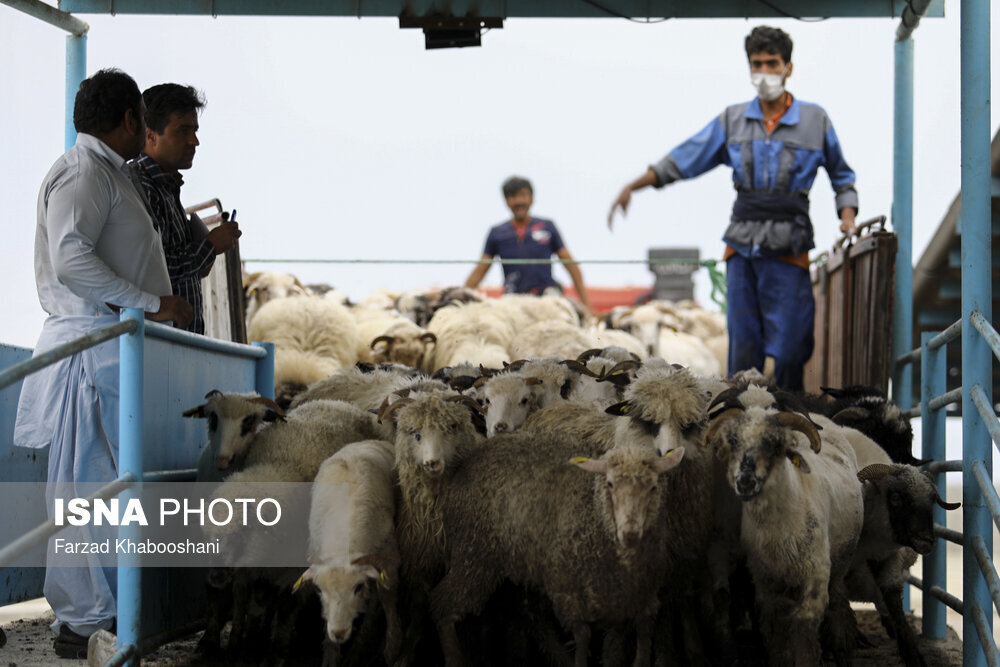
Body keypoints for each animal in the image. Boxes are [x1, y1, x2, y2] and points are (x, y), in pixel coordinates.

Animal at [708, 384, 864, 664]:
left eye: (775, 410)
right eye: (735, 411)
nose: (745, 480)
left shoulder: (812, 572)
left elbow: (801, 624)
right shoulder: (724, 548)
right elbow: (726, 598)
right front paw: (727, 652)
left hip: (841, 561)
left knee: (837, 599)